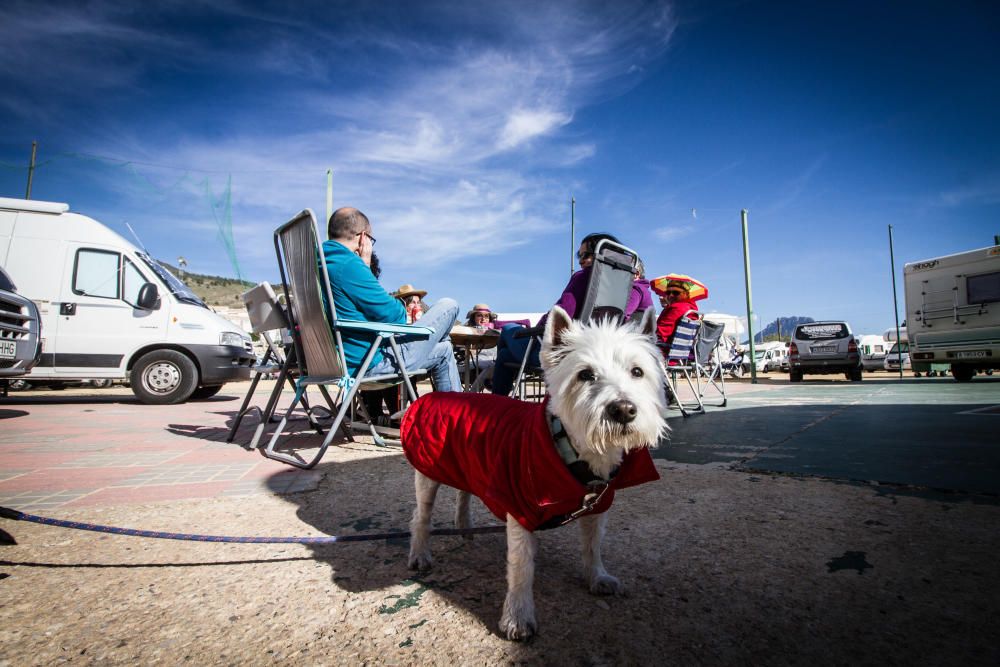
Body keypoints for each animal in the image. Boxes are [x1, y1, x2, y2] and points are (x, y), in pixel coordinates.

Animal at [402, 308, 668, 640]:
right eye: (585, 375)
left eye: (637, 372)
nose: (623, 410)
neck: (575, 451)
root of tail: (435, 396)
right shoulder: (521, 511)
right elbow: (521, 568)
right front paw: (517, 616)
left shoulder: (598, 506)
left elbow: (593, 545)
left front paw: (597, 577)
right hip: (428, 473)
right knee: (420, 516)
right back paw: (420, 554)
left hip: (466, 462)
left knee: (464, 492)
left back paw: (464, 526)